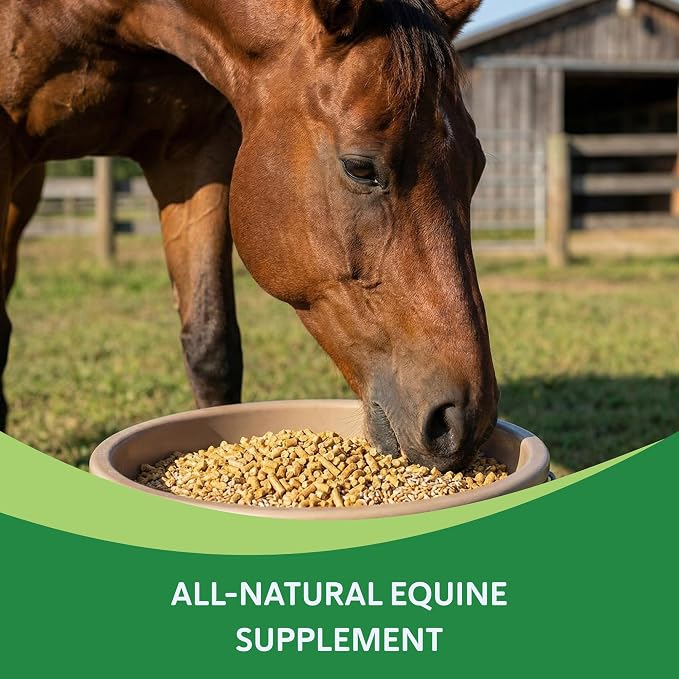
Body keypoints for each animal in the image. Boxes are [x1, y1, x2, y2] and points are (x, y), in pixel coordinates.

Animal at [0, 0, 498, 472]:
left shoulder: (193, 155)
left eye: (477, 167)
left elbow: (211, 346)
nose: (464, 420)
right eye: (360, 168)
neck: (116, 21)